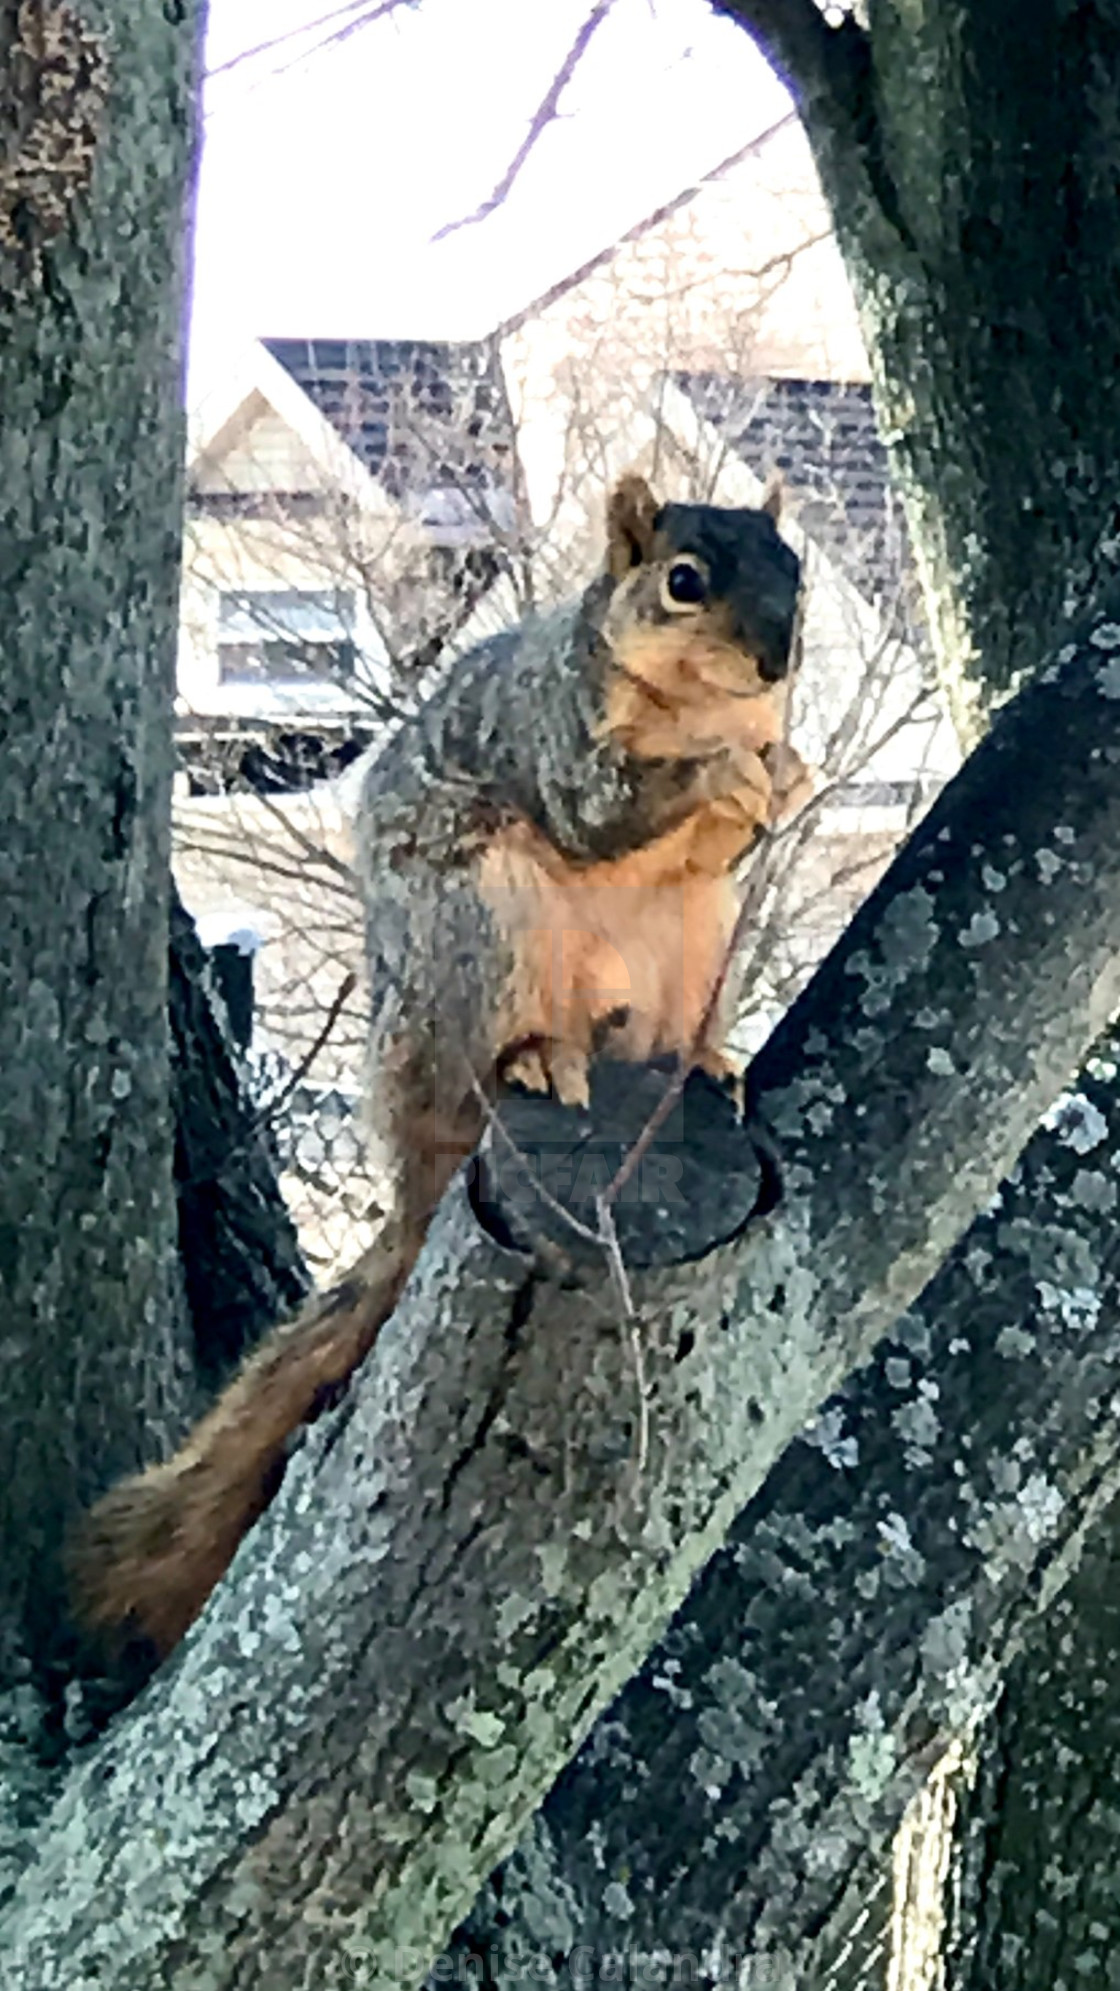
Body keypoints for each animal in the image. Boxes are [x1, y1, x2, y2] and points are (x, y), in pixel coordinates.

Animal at [70, 473, 811, 1656]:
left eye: (797, 571)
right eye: (684, 581)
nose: (778, 661)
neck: (696, 704)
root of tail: (416, 1172)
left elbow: (728, 833)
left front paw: (783, 773)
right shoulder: (552, 732)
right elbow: (599, 813)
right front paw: (727, 771)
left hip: (694, 936)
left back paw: (702, 1060)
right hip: (478, 920)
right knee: (488, 1059)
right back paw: (540, 1058)